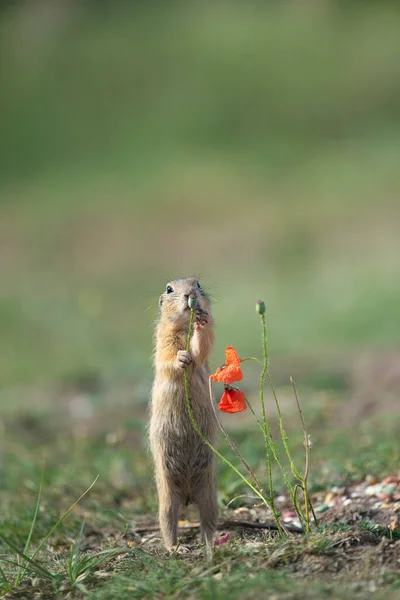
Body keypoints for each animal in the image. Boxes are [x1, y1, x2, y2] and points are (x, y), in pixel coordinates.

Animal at [148, 276, 217, 548]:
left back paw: (207, 542)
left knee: (208, 520)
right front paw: (180, 358)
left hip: (209, 494)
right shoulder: (163, 338)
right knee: (168, 522)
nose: (190, 295)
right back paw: (174, 547)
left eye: (197, 283)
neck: (184, 328)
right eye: (169, 289)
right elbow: (167, 359)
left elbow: (201, 350)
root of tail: (188, 494)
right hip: (167, 497)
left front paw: (201, 321)